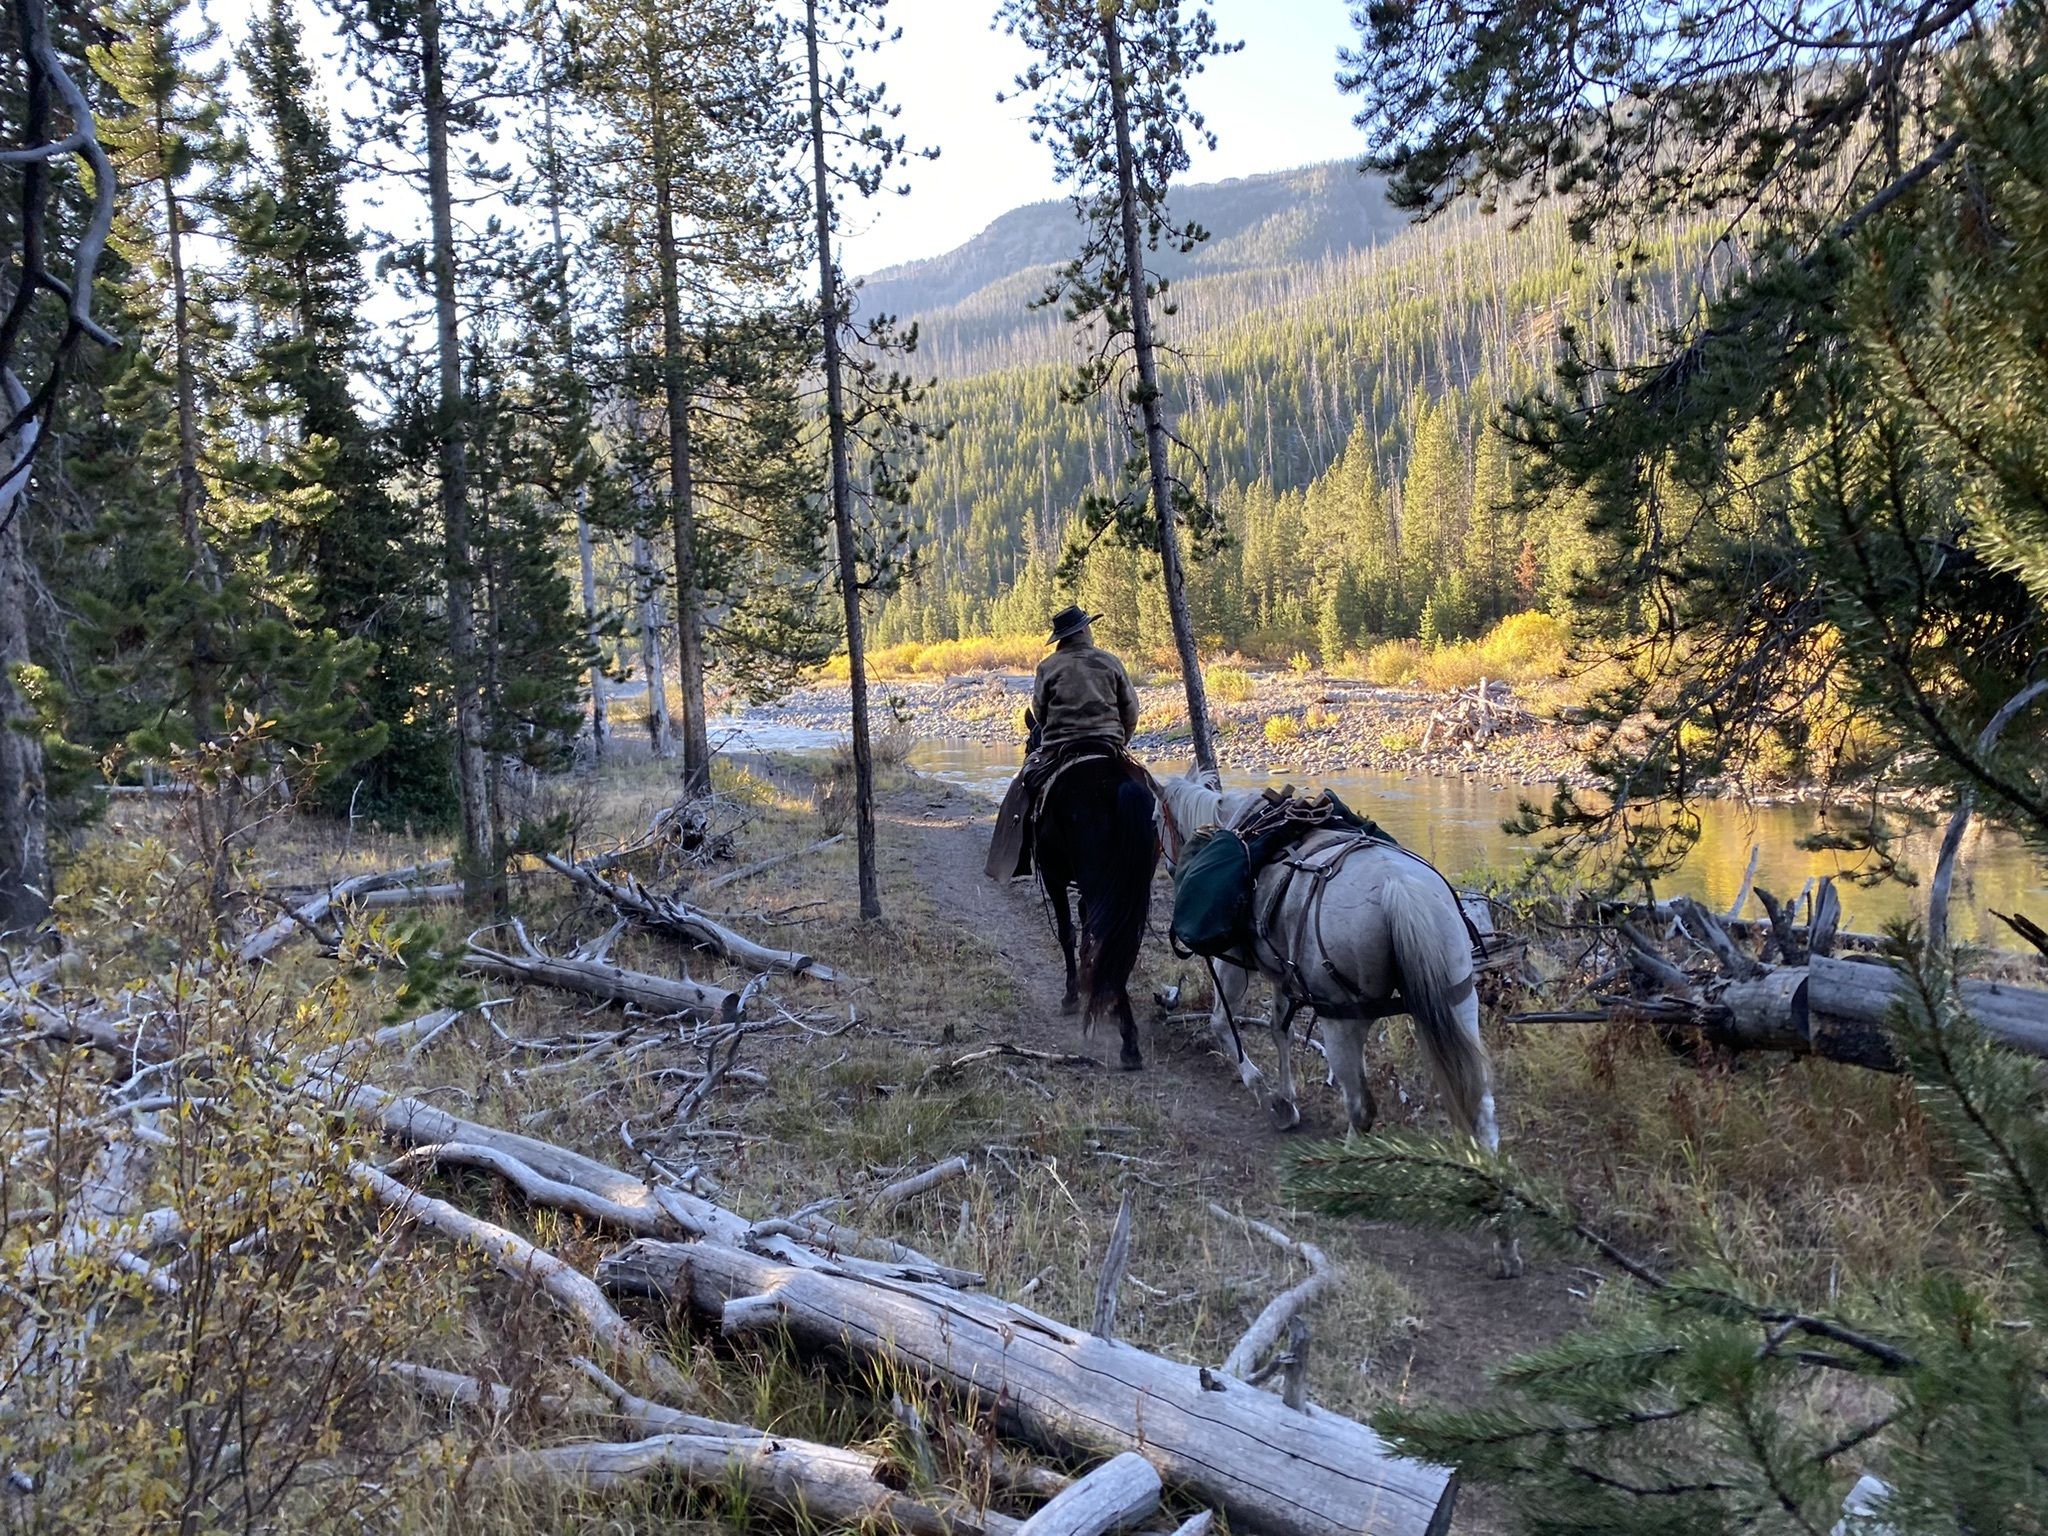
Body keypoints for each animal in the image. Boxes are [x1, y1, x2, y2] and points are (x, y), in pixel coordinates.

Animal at [1155, 765, 1507, 1146]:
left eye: (1155, 818)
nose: (1170, 869)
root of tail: (1399, 888)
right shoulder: (1282, 972)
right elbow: (1280, 1030)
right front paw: (1287, 1101)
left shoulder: (1233, 961)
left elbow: (1221, 1022)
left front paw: (1269, 1099)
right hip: (1459, 999)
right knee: (1483, 1107)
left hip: (1340, 1020)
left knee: (1360, 1107)